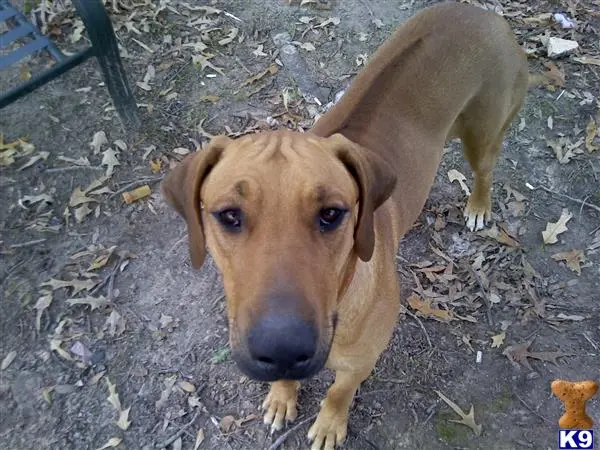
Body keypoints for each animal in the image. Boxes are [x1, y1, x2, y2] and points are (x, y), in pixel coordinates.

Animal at [162, 1, 528, 448]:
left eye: (331, 214)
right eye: (229, 215)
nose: (282, 350)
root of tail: (484, 14)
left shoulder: (361, 360)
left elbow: (339, 391)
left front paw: (329, 423)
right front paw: (283, 396)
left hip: (484, 133)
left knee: (485, 171)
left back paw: (478, 205)